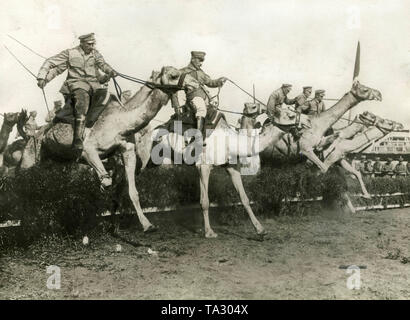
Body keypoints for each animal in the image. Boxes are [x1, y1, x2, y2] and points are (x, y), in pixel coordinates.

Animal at [18, 67, 199, 232]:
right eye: (174, 75)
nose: (195, 83)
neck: (121, 122)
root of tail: (33, 136)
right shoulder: (88, 151)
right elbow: (106, 182)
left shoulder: (127, 151)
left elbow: (131, 191)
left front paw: (146, 225)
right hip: (29, 160)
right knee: (25, 190)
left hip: (56, 162)